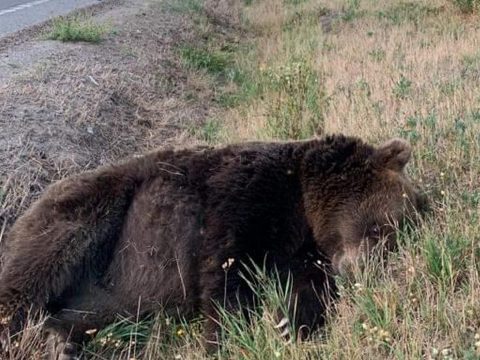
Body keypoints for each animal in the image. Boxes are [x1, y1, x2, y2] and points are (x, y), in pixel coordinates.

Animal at [0, 134, 424, 358]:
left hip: (108, 295)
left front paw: (291, 324)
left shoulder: (303, 252)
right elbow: (226, 271)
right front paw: (225, 337)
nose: (365, 271)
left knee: (82, 316)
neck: (301, 202)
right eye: (383, 228)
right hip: (92, 213)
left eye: (399, 236)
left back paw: (59, 341)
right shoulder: (242, 196)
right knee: (37, 269)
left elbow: (305, 289)